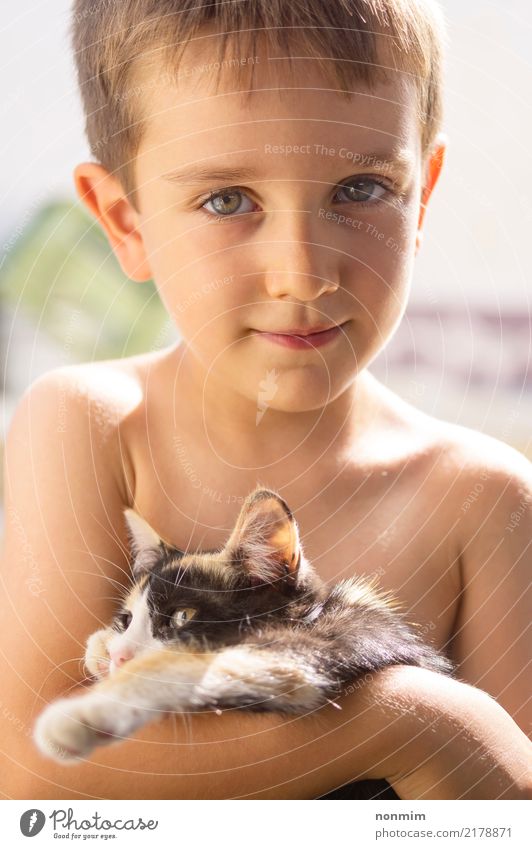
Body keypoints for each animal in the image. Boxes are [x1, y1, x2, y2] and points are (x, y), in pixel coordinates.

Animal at [35, 484, 454, 760]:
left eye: (183, 616)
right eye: (125, 619)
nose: (120, 655)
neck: (314, 615)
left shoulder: (328, 643)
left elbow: (182, 664)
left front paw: (82, 714)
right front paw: (102, 649)